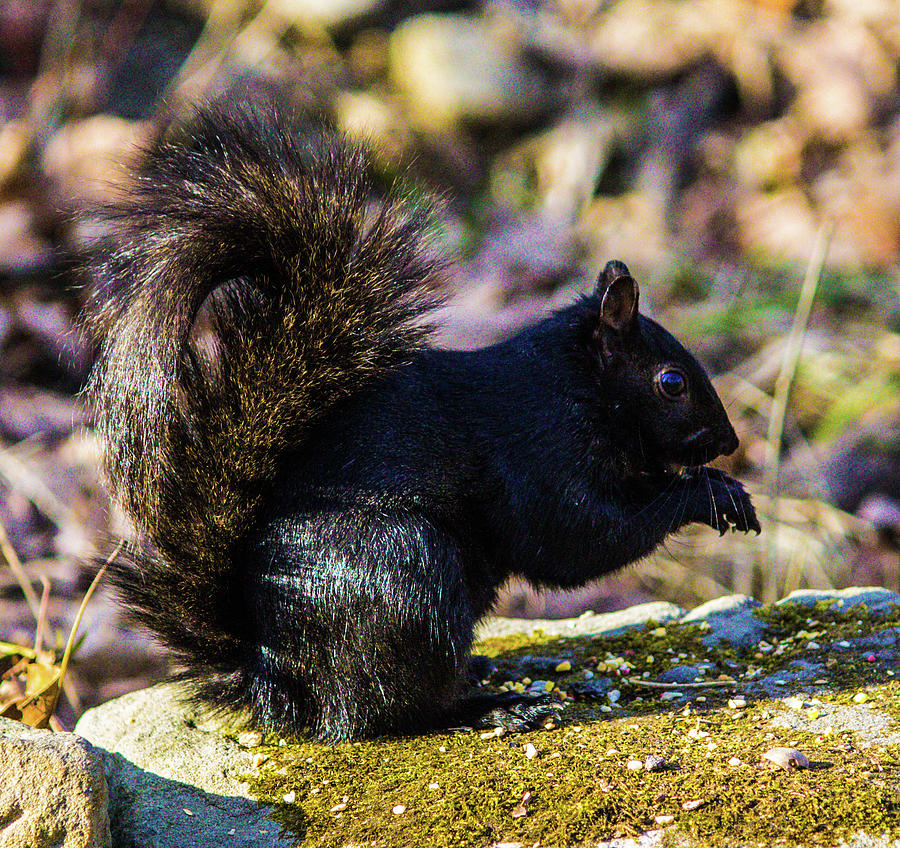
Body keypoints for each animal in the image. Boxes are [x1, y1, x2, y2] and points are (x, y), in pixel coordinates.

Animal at [84, 96, 760, 740]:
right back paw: (491, 705)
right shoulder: (542, 454)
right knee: (387, 712)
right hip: (407, 576)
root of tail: (272, 673)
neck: (578, 386)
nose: (728, 442)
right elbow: (581, 540)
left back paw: (485, 671)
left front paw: (720, 485)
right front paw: (707, 495)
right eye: (671, 383)